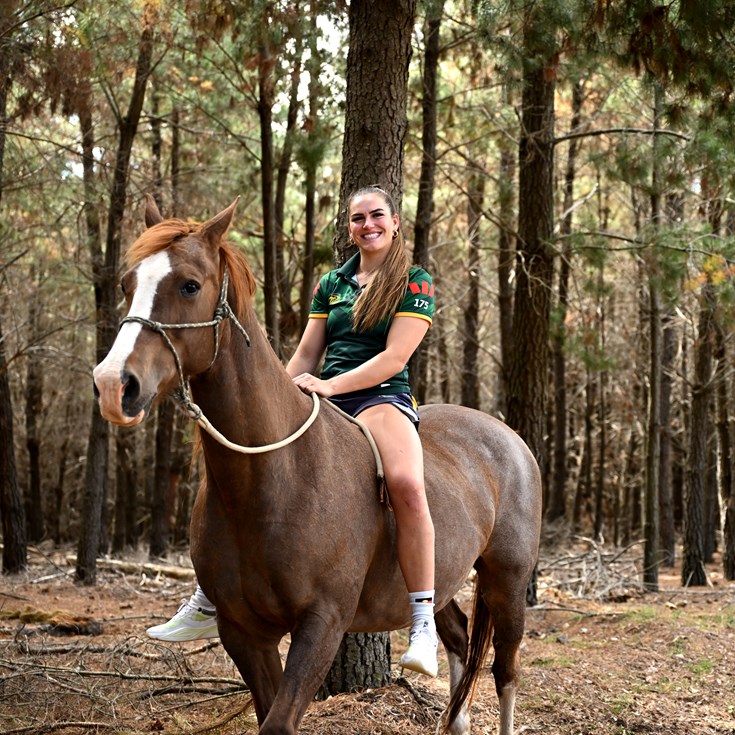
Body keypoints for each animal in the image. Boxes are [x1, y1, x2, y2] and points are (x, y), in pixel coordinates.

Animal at [92, 197, 544, 735]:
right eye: (127, 284)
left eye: (189, 285)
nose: (113, 384)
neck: (274, 478)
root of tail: (509, 438)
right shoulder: (243, 632)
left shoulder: (322, 624)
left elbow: (279, 722)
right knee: (456, 638)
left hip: (507, 579)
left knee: (506, 671)